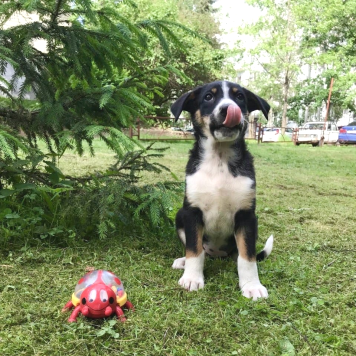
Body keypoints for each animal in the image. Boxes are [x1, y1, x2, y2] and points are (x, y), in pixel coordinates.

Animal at [171, 80, 274, 300]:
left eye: (240, 97)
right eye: (209, 97)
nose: (228, 109)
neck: (219, 159)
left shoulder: (246, 216)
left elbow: (247, 257)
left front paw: (252, 285)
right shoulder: (192, 212)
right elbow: (194, 249)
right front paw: (192, 278)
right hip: (179, 216)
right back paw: (183, 262)